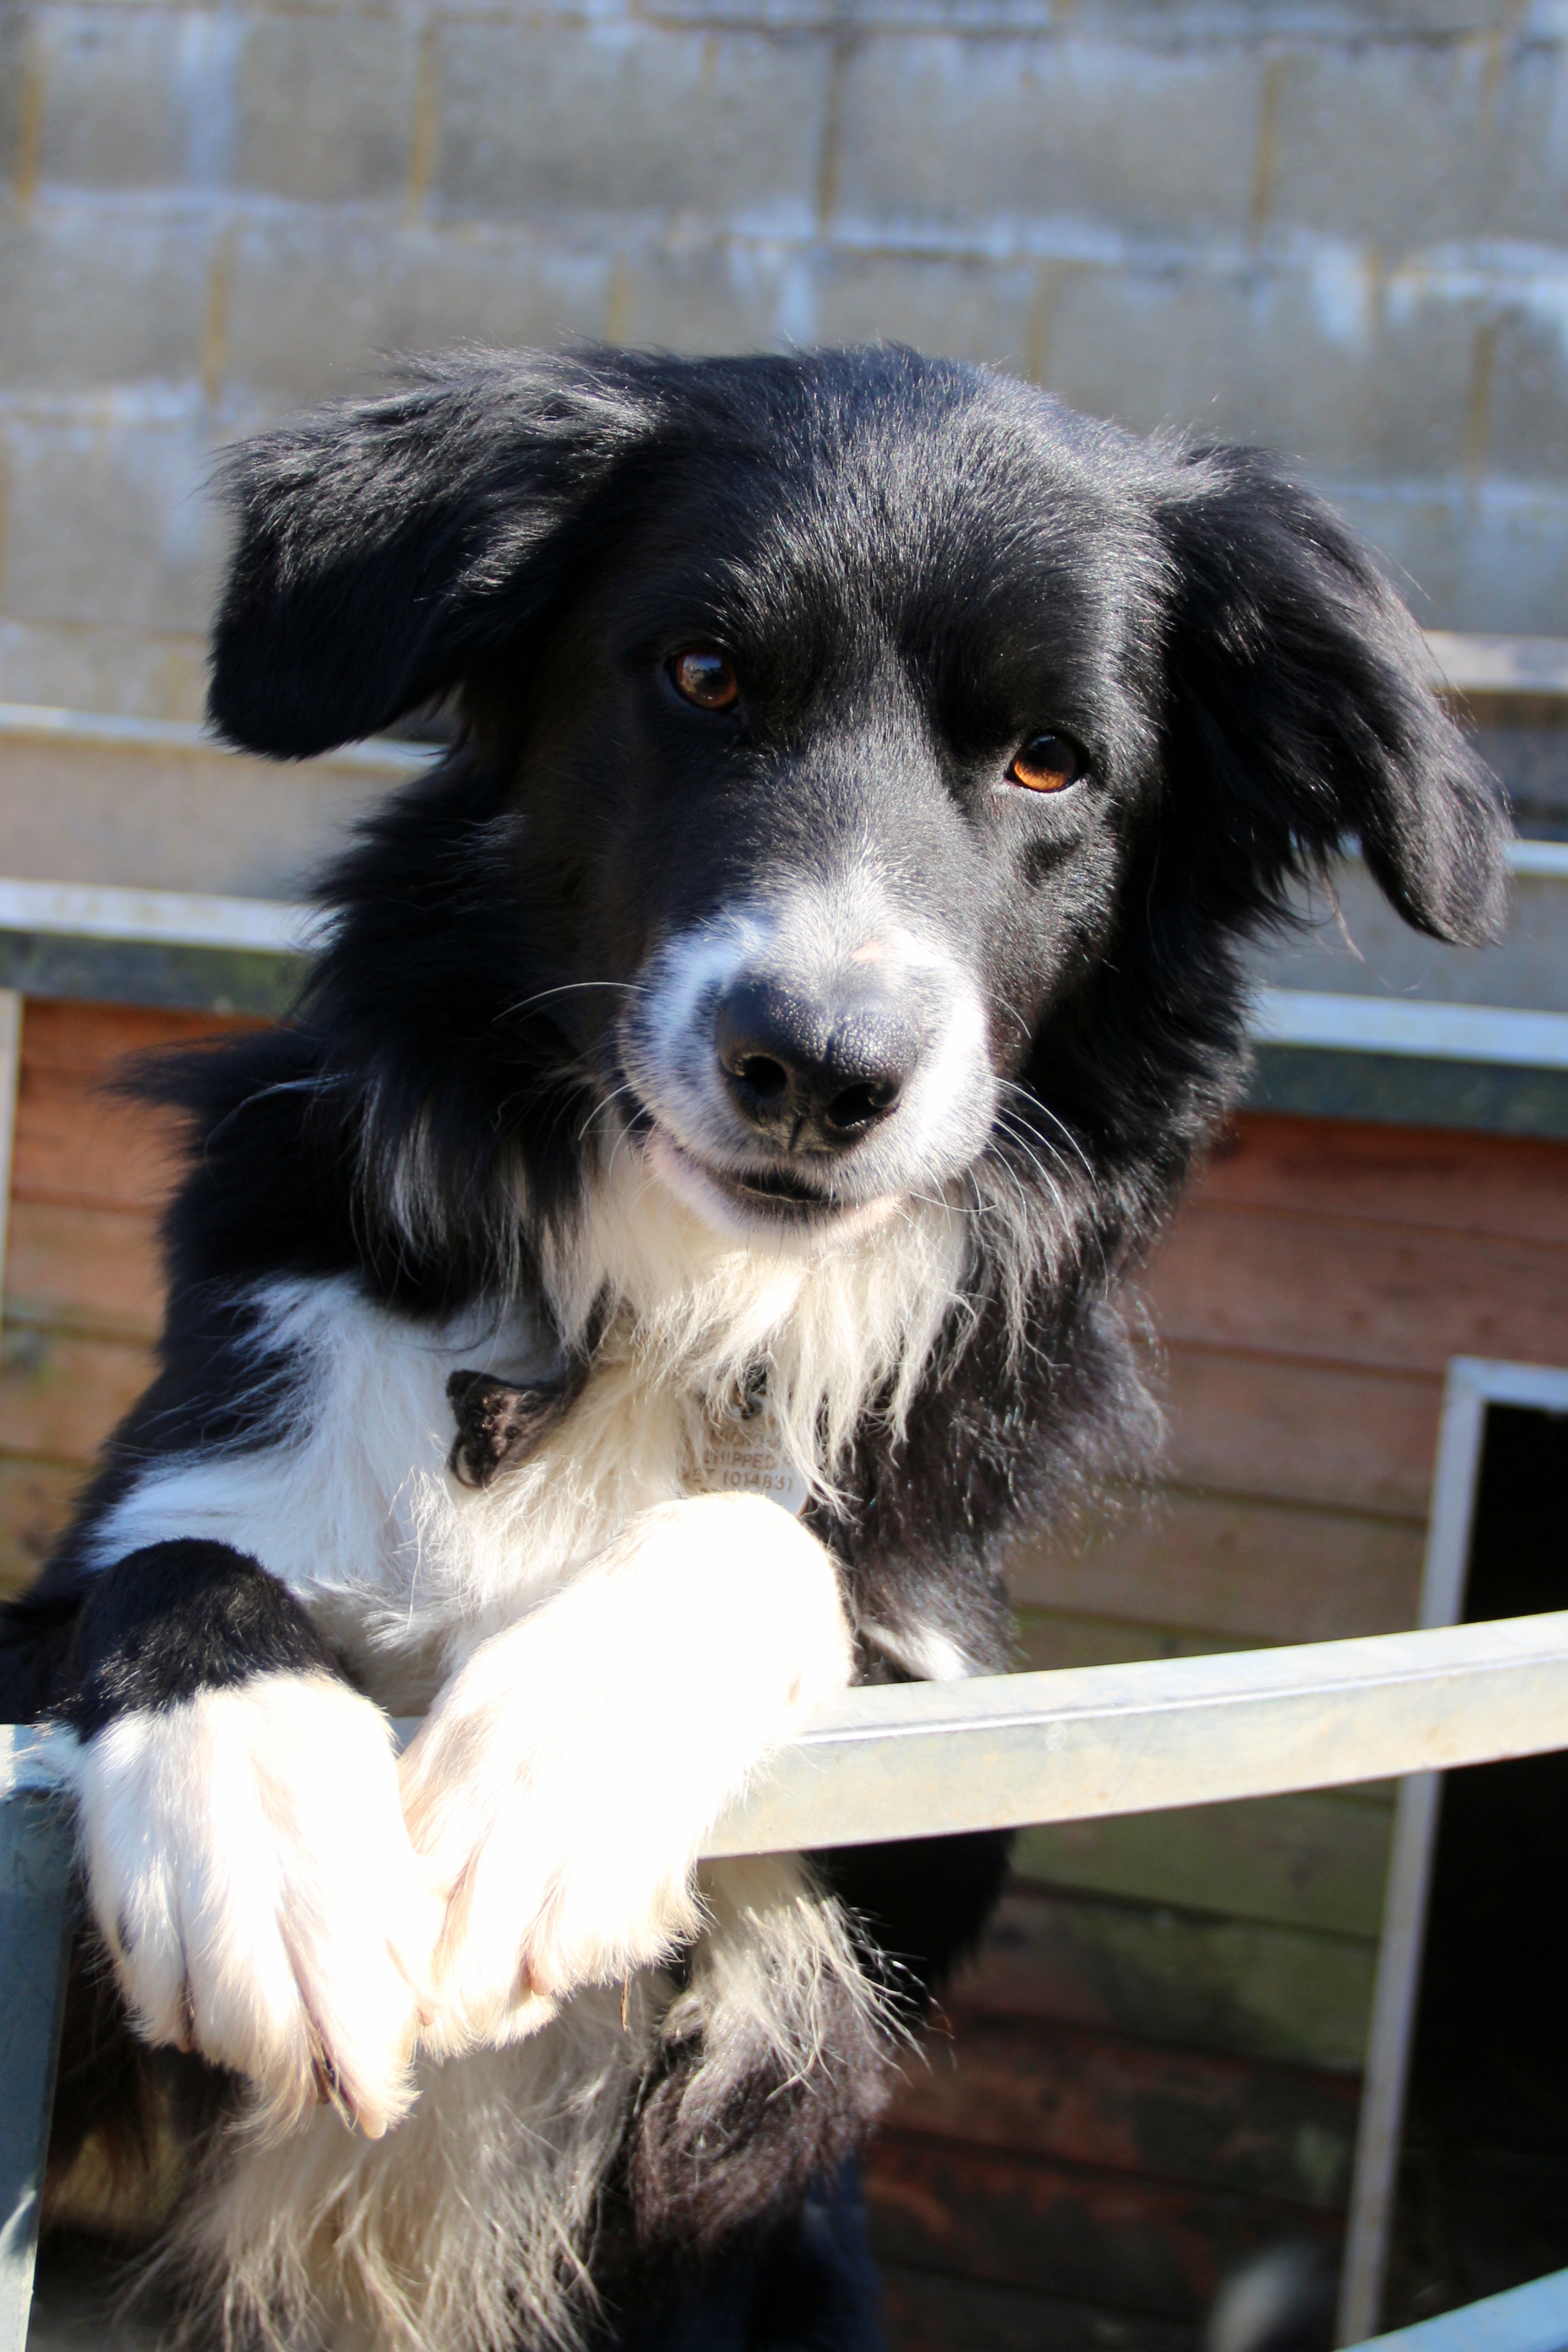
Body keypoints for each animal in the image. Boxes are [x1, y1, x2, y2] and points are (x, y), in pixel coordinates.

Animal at [6, 341, 1513, 2342]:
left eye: (1050, 759)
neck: (667, 1310)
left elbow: (763, 1552)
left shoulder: (954, 1806)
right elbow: (171, 1568)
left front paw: (545, 1776)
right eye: (706, 675)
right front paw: (259, 1822)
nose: (818, 1067)